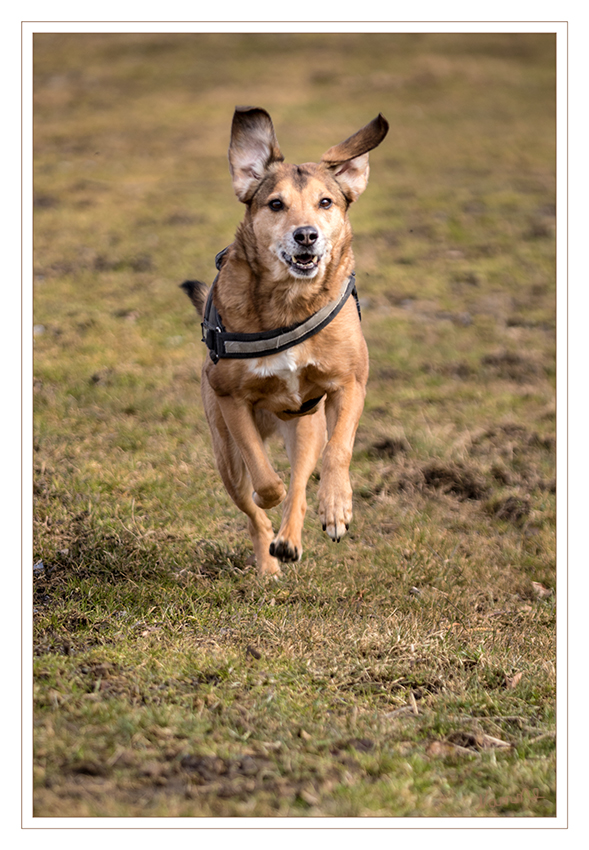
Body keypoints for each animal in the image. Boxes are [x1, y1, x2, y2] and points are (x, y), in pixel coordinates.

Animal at [181, 102, 388, 572]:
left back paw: (290, 540)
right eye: (276, 205)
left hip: (306, 428)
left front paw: (337, 506)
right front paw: (268, 496)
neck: (290, 303)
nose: (306, 235)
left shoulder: (350, 384)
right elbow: (264, 478)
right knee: (254, 506)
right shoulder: (231, 403)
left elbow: (338, 451)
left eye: (325, 202)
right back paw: (269, 562)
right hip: (224, 454)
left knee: (300, 483)